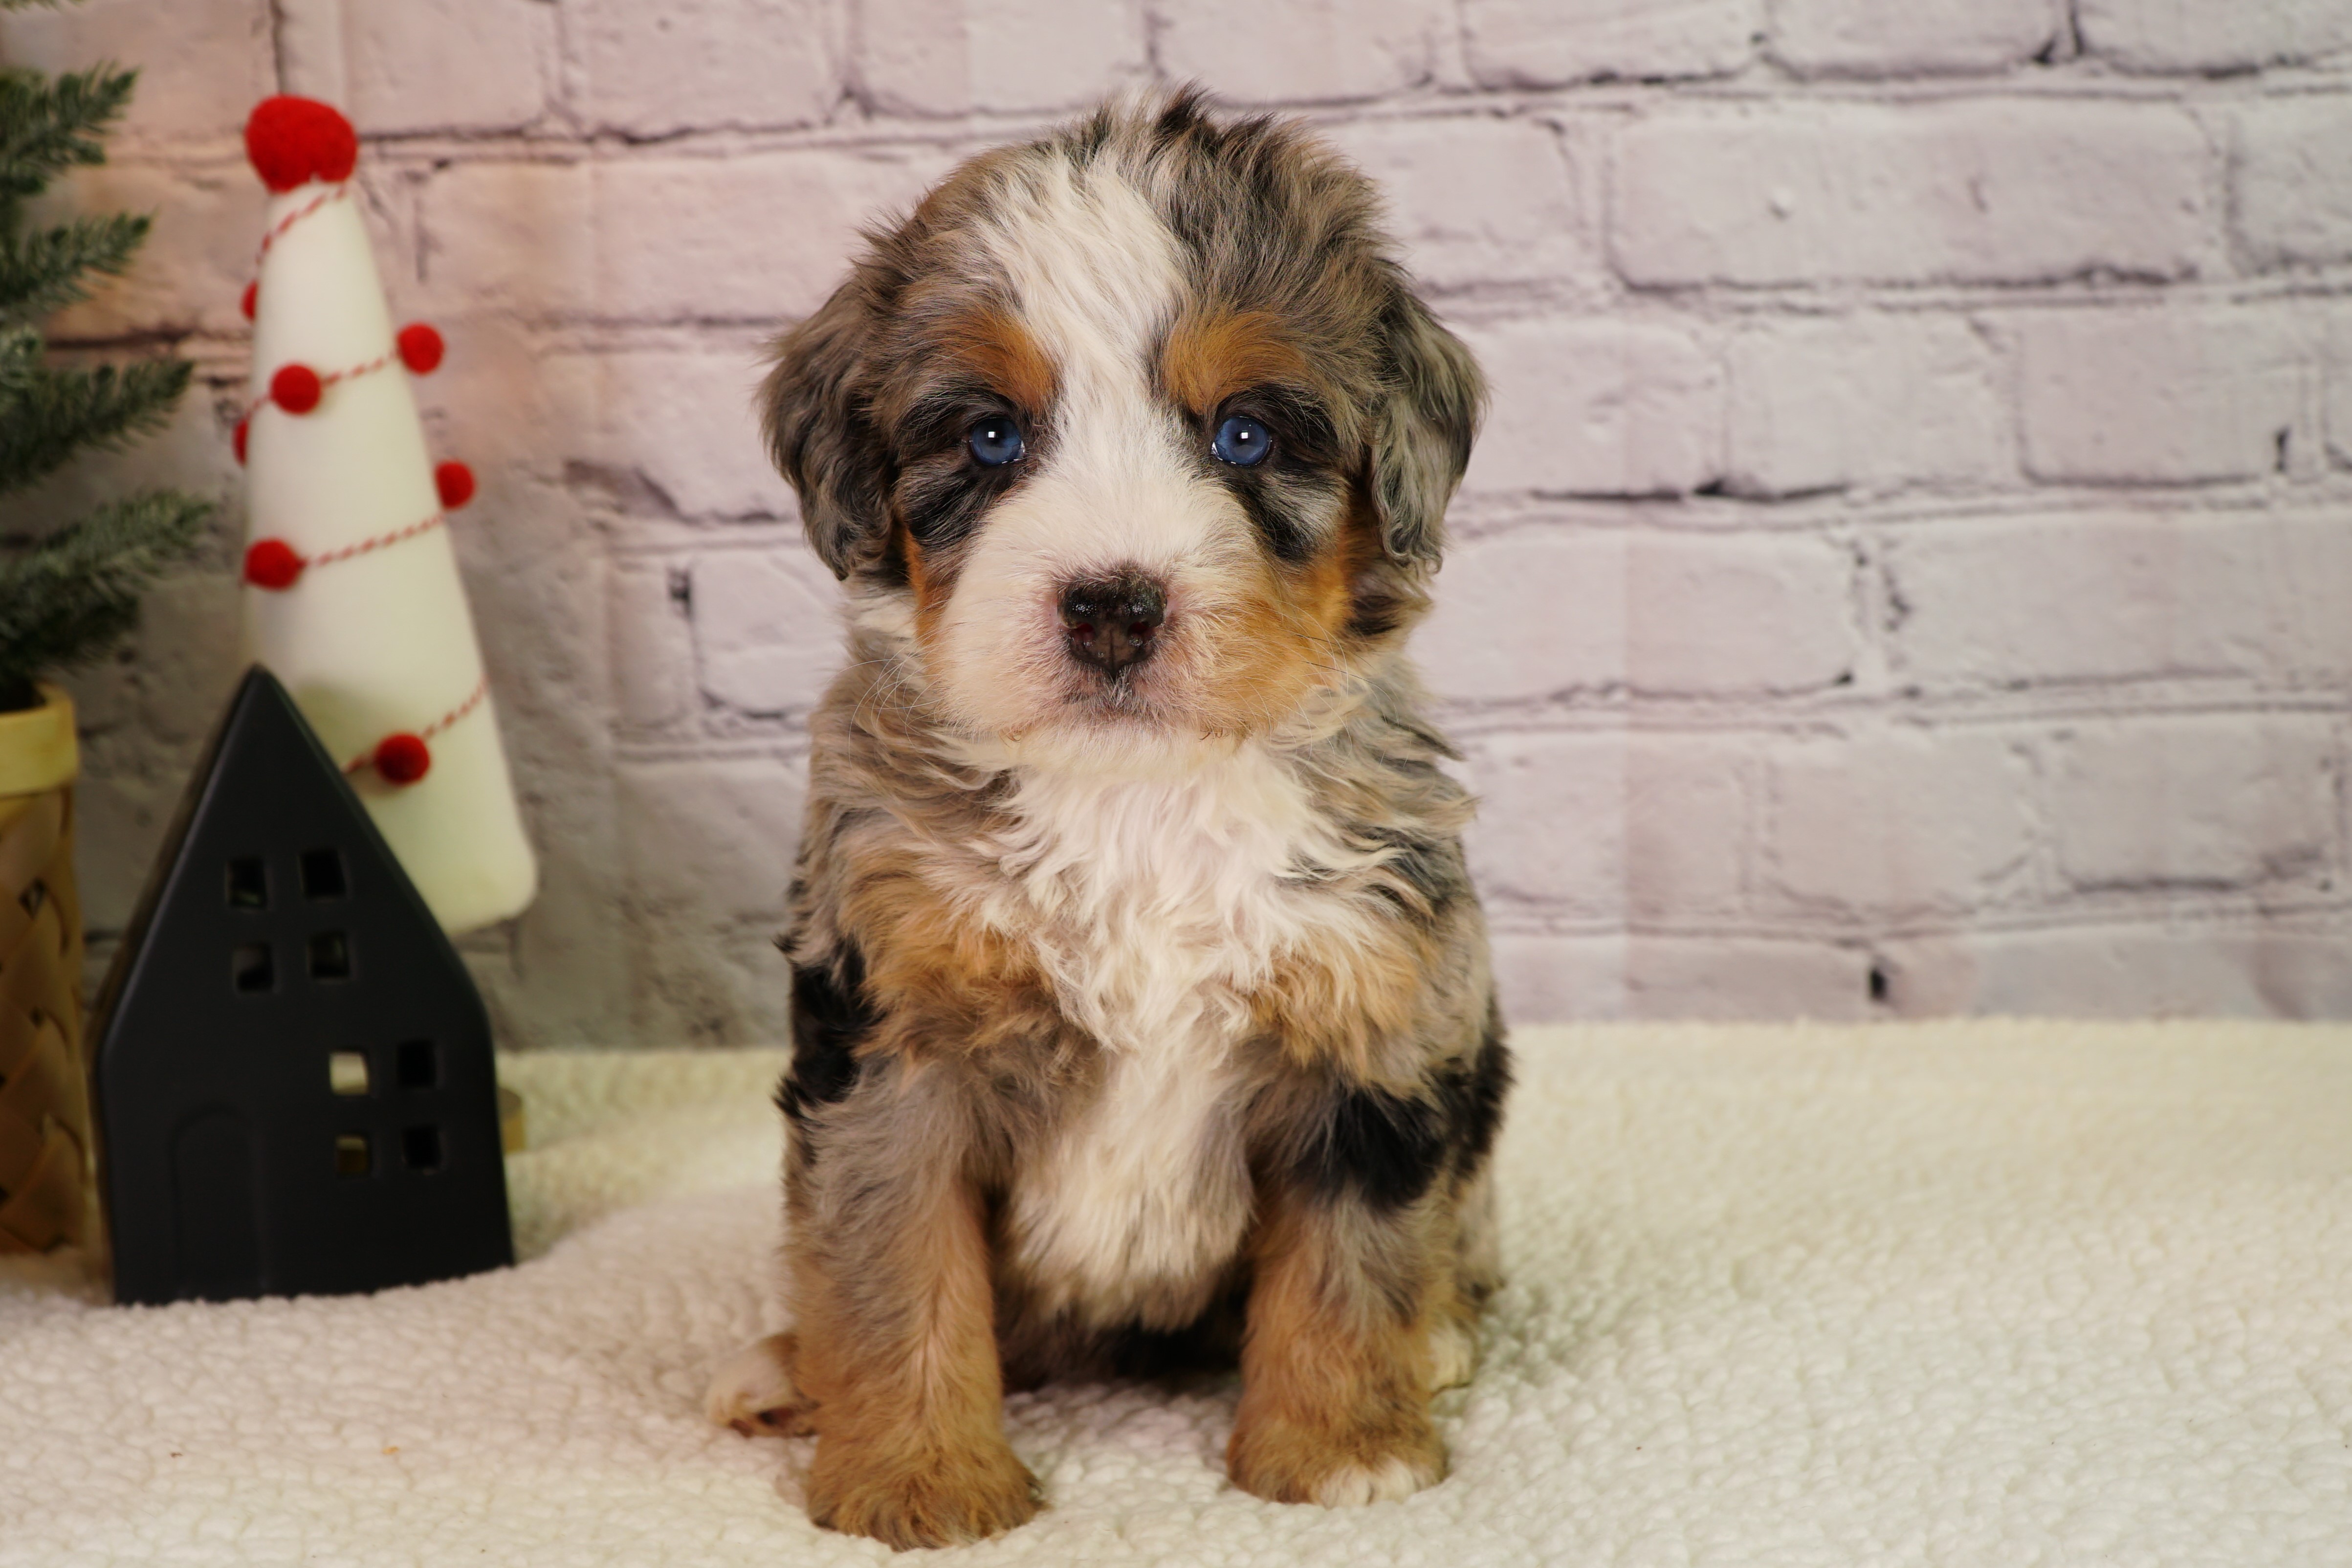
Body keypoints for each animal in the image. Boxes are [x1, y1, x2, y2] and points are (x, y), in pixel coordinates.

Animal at [701, 88, 1505, 1561]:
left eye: (1245, 434)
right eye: (990, 438)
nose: (1113, 605)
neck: (1138, 793)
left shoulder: (1370, 1011)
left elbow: (1350, 1260)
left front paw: (1342, 1454)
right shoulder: (890, 1034)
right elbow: (893, 1259)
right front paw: (918, 1478)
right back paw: (785, 1369)